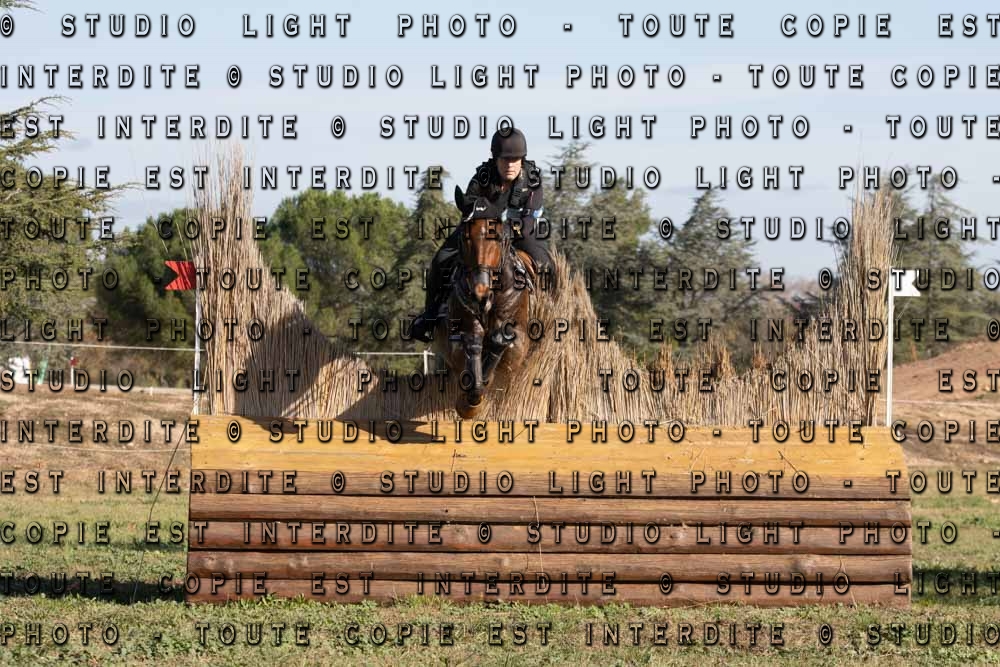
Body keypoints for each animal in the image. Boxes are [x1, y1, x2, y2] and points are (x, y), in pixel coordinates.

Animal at [431, 186, 535, 418]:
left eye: (498, 237)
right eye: (464, 237)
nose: (479, 295)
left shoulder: (519, 341)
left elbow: (503, 343)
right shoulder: (459, 335)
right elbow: (472, 346)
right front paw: (469, 403)